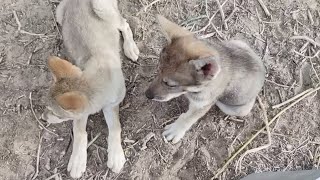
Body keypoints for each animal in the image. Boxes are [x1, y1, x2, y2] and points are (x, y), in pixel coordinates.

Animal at [41, 0, 139, 177]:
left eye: (56, 114)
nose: (43, 118)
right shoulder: (81, 114)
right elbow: (80, 134)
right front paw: (77, 161)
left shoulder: (112, 105)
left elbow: (115, 128)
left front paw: (116, 155)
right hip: (59, 13)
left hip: (101, 8)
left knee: (124, 24)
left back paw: (130, 48)